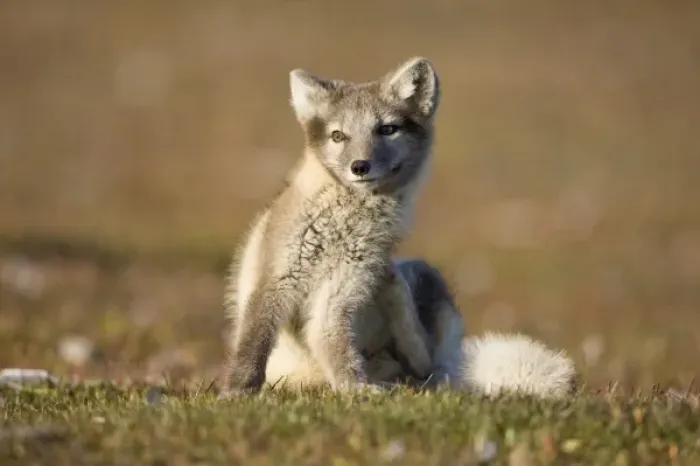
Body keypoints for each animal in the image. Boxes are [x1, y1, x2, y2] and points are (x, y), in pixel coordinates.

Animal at [221, 57, 578, 398]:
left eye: (387, 129)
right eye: (338, 136)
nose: (360, 166)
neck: (342, 225)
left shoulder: (342, 288)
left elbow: (336, 345)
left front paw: (354, 387)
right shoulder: (277, 277)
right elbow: (253, 340)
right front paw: (237, 390)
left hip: (422, 276)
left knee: (423, 359)